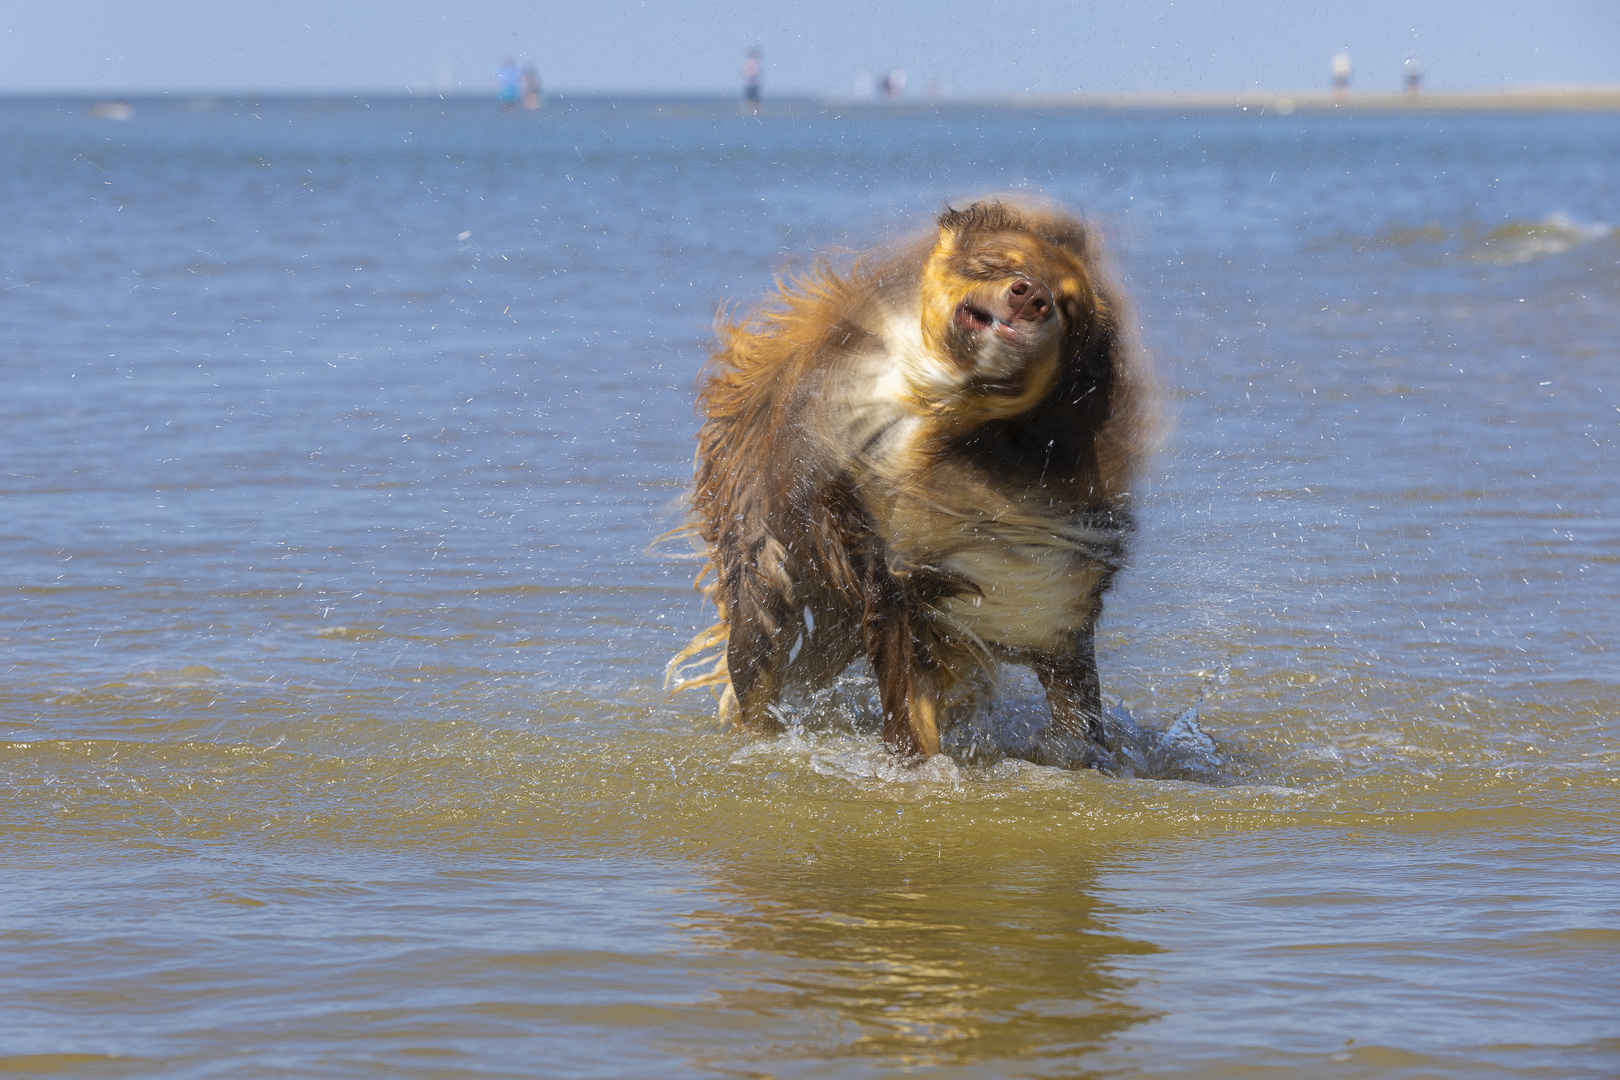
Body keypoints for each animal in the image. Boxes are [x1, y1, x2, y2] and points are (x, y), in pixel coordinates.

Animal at [670, 196, 1153, 767]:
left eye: (1068, 306)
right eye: (997, 263)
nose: (1031, 297)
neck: (946, 418)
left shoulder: (1056, 600)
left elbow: (1077, 720)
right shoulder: (893, 585)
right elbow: (909, 715)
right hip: (766, 574)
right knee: (758, 668)